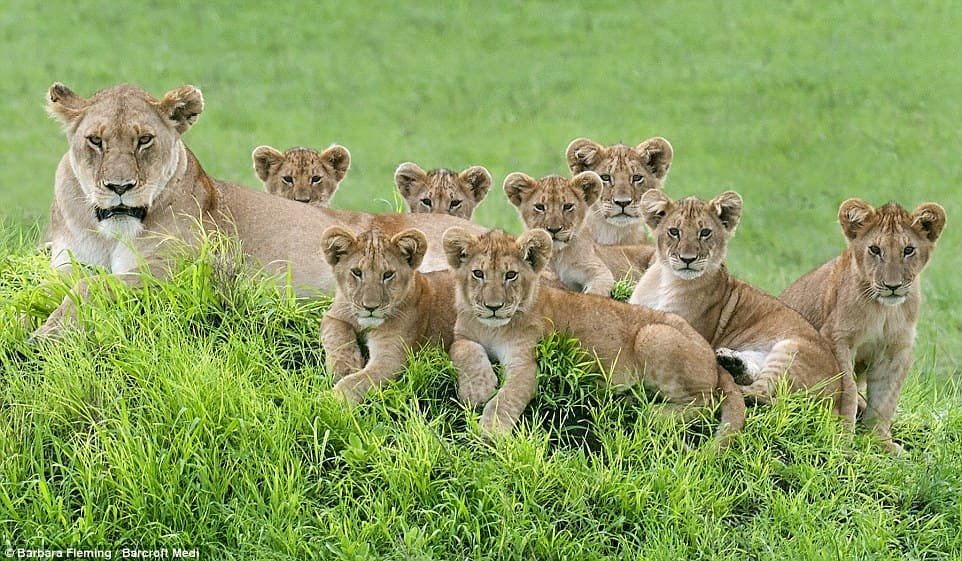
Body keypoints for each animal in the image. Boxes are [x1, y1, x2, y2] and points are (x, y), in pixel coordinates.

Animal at [37, 82, 485, 339]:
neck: (110, 230)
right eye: (95, 141)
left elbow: (93, 286)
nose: (119, 188)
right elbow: (57, 287)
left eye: (144, 140)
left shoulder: (179, 274)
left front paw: (47, 335)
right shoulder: (63, 266)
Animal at [320, 225, 456, 405]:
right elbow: (337, 337)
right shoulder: (334, 316)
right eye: (357, 272)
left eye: (388, 274)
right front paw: (345, 369)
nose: (370, 307)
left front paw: (330, 400)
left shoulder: (391, 358)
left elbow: (357, 382)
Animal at [442, 227, 745, 445]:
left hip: (652, 334)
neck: (492, 328)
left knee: (705, 403)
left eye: (511, 275)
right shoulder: (462, 335)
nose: (493, 307)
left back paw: (653, 413)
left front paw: (490, 432)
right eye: (478, 273)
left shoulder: (526, 363)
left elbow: (505, 399)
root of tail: (711, 353)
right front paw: (477, 389)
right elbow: (462, 350)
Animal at [628, 190, 853, 422]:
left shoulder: (688, 327)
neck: (664, 279)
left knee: (764, 395)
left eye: (705, 232)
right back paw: (731, 362)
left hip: (791, 349)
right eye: (674, 231)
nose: (687, 259)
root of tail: (837, 401)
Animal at [780, 199, 946, 452]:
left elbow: (885, 399)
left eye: (908, 250)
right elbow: (846, 390)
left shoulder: (896, 350)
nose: (892, 286)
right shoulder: (837, 339)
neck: (885, 311)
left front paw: (880, 442)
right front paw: (842, 440)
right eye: (875, 250)